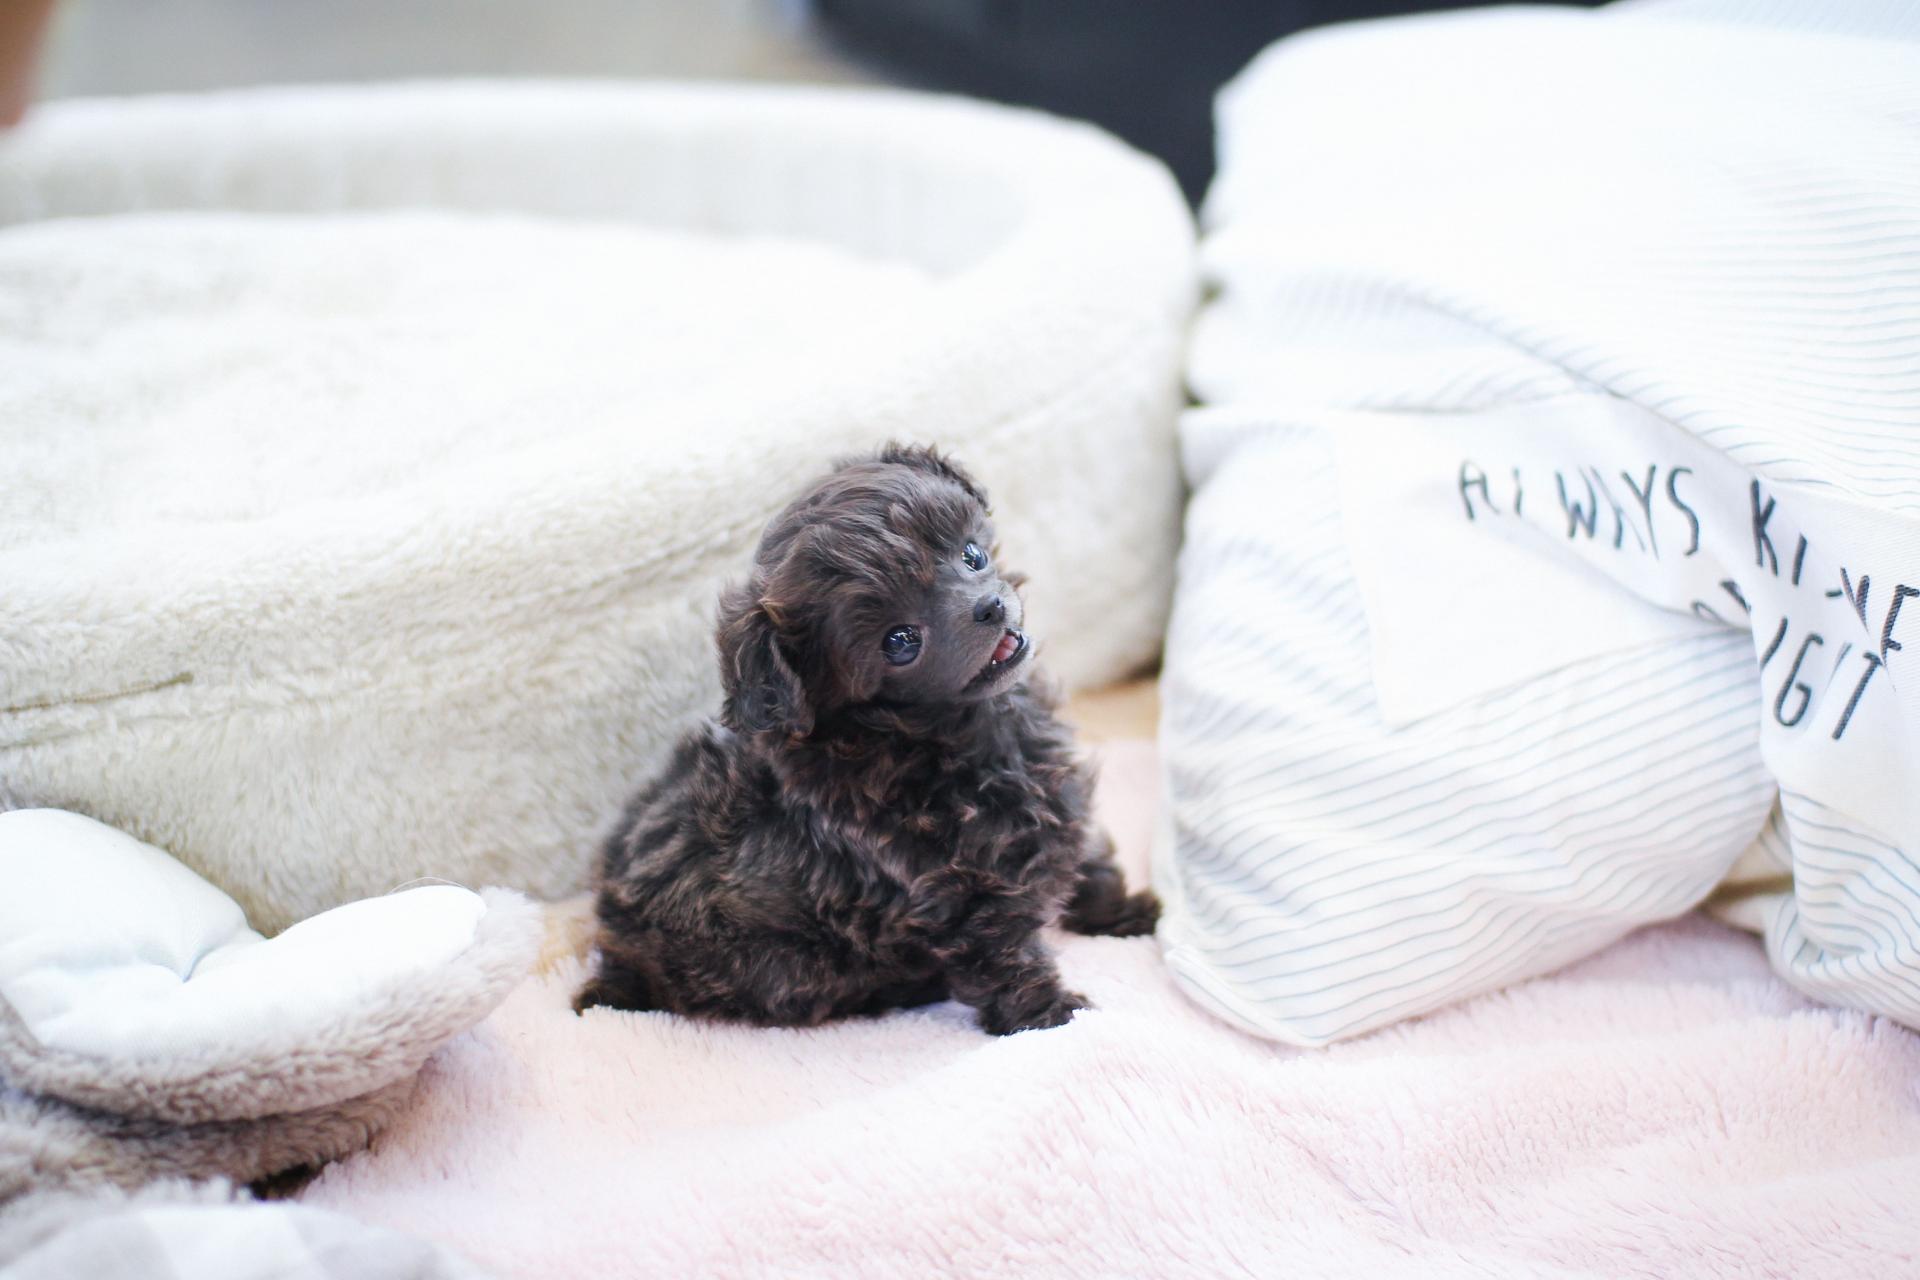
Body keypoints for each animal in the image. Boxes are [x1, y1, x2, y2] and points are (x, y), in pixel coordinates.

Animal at [574, 444, 1159, 1034]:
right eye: (900, 642)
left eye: (971, 555)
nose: (990, 608)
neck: (942, 731)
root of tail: (618, 954)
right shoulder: (960, 891)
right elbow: (1007, 957)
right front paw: (1055, 1018)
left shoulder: (1054, 801)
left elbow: (1089, 857)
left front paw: (1123, 911)